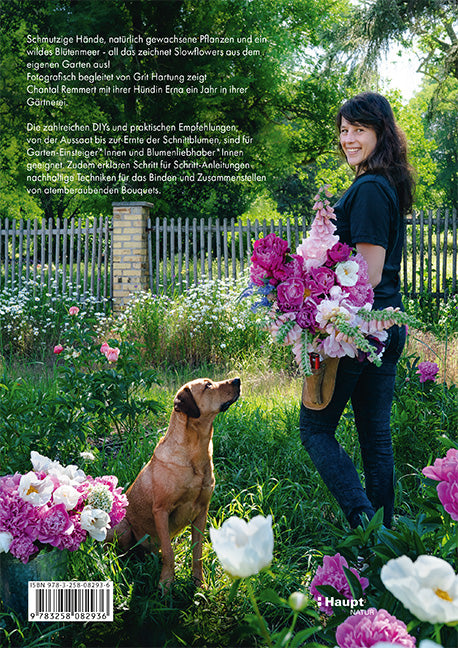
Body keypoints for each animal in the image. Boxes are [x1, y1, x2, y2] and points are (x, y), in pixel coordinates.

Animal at [109, 374, 242, 588]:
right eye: (208, 386)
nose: (238, 379)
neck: (195, 452)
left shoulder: (202, 511)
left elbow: (197, 552)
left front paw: (198, 583)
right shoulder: (161, 511)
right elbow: (169, 553)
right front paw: (166, 583)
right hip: (122, 527)